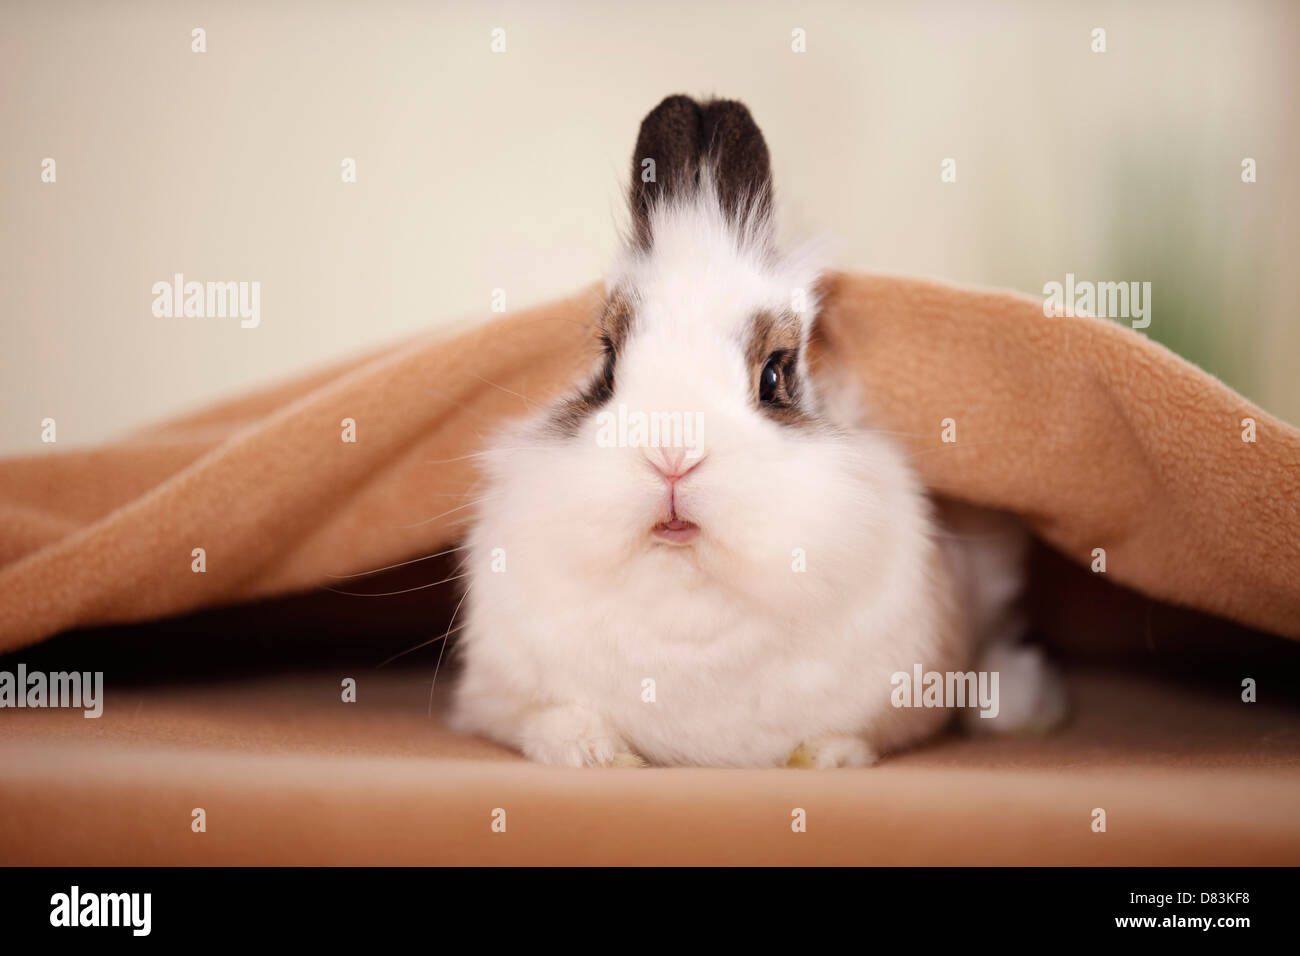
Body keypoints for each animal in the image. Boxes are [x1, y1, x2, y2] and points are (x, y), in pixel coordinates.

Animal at [449, 95, 1066, 768]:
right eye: (607, 364)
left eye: (774, 374)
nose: (673, 456)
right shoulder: (501, 697)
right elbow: (548, 721)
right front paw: (595, 754)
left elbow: (855, 733)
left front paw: (826, 757)